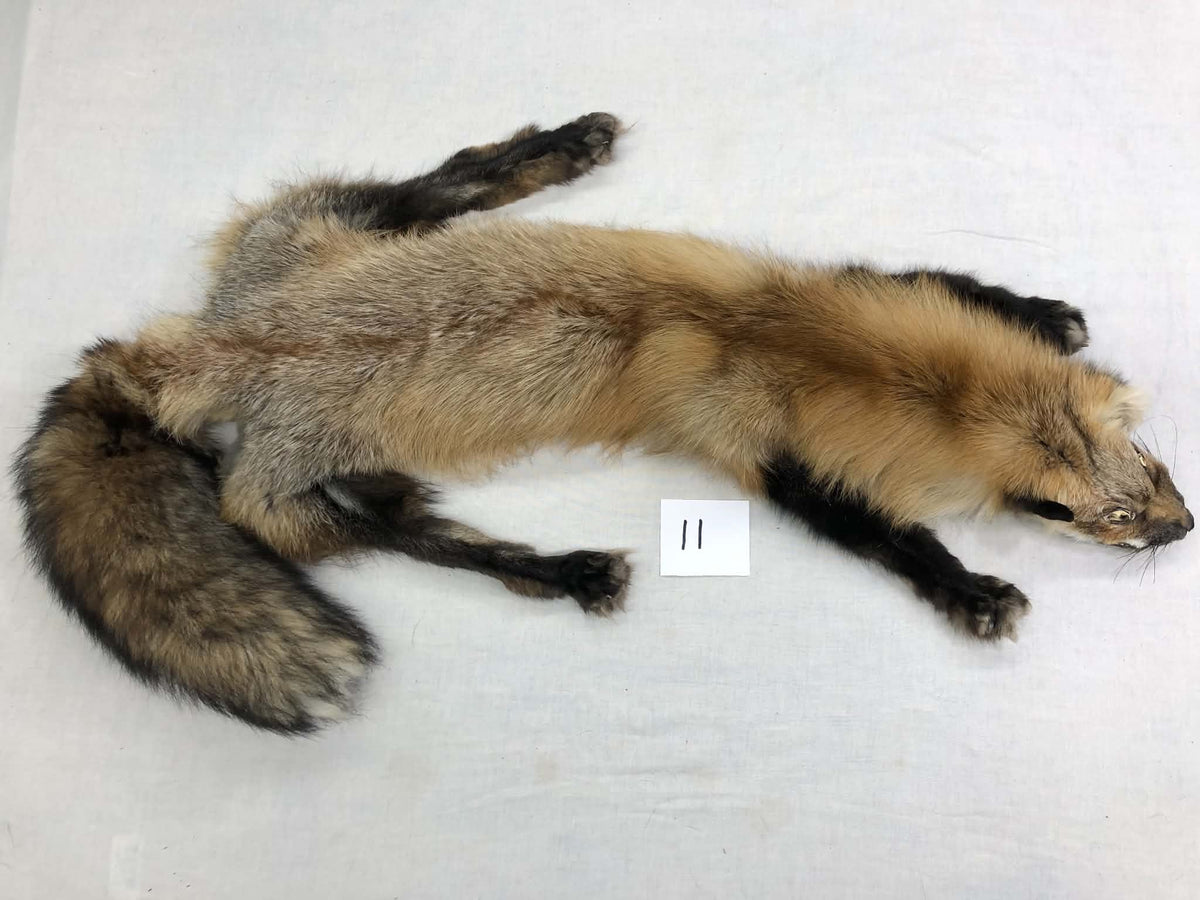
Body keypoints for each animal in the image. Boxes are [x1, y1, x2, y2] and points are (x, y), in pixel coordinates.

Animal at [14, 112, 1192, 733]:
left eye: (1154, 470)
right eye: (1094, 523)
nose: (1182, 531)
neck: (787, 342)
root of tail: (193, 350)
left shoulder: (826, 285)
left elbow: (940, 282)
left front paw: (1044, 315)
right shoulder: (768, 459)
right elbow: (888, 539)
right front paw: (970, 591)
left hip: (341, 229)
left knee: (444, 183)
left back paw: (562, 147)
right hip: (316, 495)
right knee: (432, 541)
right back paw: (565, 569)